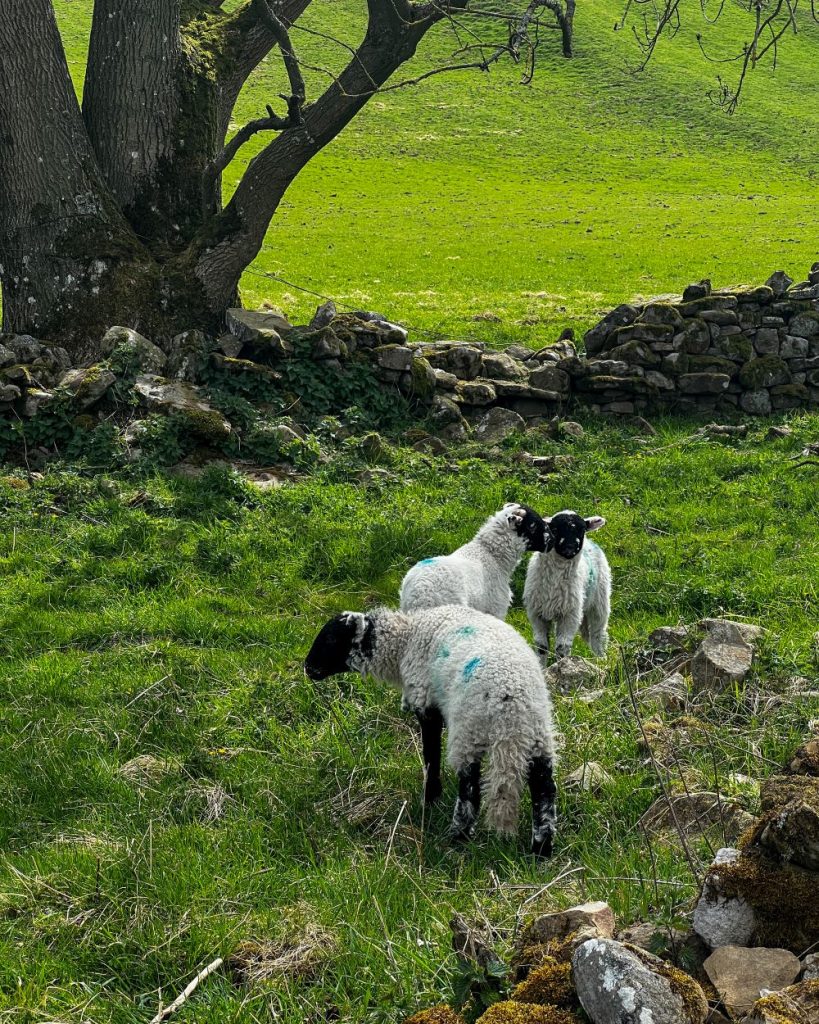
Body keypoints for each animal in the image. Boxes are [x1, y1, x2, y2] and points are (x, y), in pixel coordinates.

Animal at [304, 604, 558, 857]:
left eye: (331, 638)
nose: (307, 668)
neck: (405, 640)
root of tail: (511, 705)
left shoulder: (425, 702)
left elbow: (430, 753)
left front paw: (430, 797)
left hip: (469, 732)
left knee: (470, 791)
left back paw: (457, 838)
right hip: (537, 735)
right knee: (544, 790)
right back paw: (541, 849)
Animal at [523, 510, 611, 663]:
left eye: (582, 530)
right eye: (555, 529)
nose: (570, 547)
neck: (554, 583)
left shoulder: (570, 614)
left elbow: (562, 648)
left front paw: (562, 665)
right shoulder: (537, 614)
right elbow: (541, 646)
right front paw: (541, 666)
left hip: (599, 603)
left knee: (598, 635)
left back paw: (601, 660)